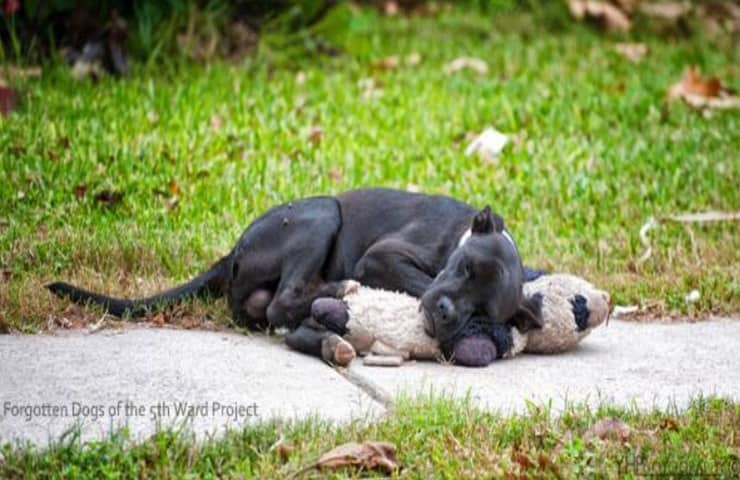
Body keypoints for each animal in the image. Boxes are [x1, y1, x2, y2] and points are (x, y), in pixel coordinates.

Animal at [49, 188, 540, 356]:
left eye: (485, 310)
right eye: (463, 267)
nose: (444, 314)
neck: (459, 235)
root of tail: (233, 252)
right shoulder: (381, 258)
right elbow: (419, 282)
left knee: (282, 309)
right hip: (321, 214)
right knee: (284, 301)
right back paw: (339, 292)